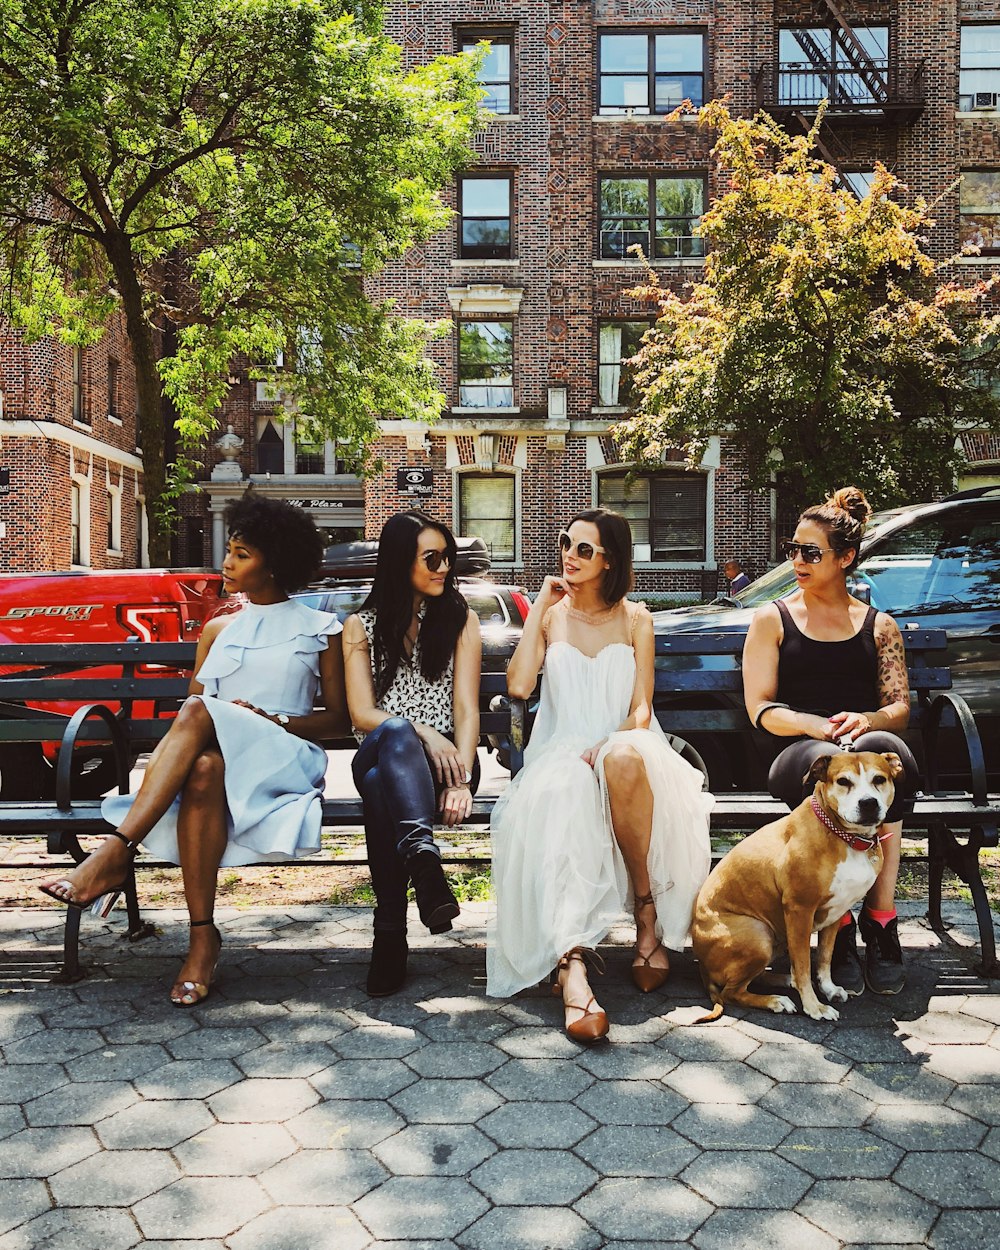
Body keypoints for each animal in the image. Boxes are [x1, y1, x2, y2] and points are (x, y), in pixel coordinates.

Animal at [690, 745, 900, 1020]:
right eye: (843, 781)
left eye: (879, 779)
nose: (868, 803)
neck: (843, 836)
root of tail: (702, 968)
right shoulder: (800, 911)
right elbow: (803, 965)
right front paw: (814, 1006)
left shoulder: (836, 912)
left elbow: (824, 958)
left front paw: (828, 989)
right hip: (759, 935)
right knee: (732, 992)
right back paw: (775, 1000)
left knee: (754, 978)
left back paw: (784, 981)